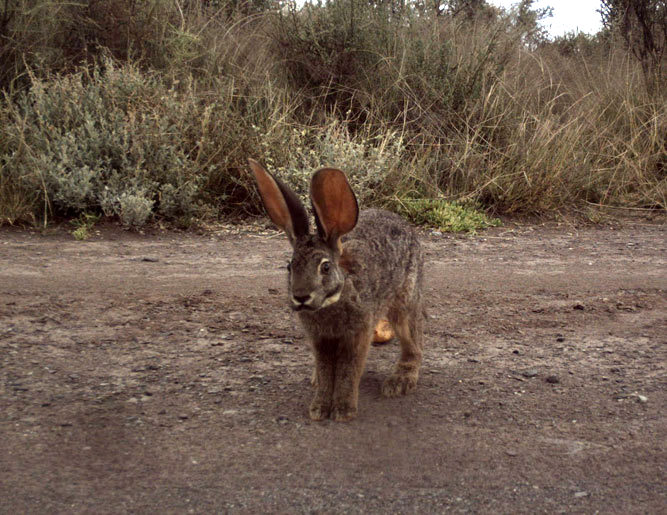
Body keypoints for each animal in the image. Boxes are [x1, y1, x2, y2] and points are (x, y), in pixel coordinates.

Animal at [248, 159, 426, 422]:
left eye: (325, 267)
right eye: (289, 266)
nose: (301, 296)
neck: (331, 301)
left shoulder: (357, 334)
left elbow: (347, 371)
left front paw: (343, 410)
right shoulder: (320, 340)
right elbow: (326, 372)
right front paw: (319, 408)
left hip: (404, 303)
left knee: (412, 341)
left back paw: (400, 382)